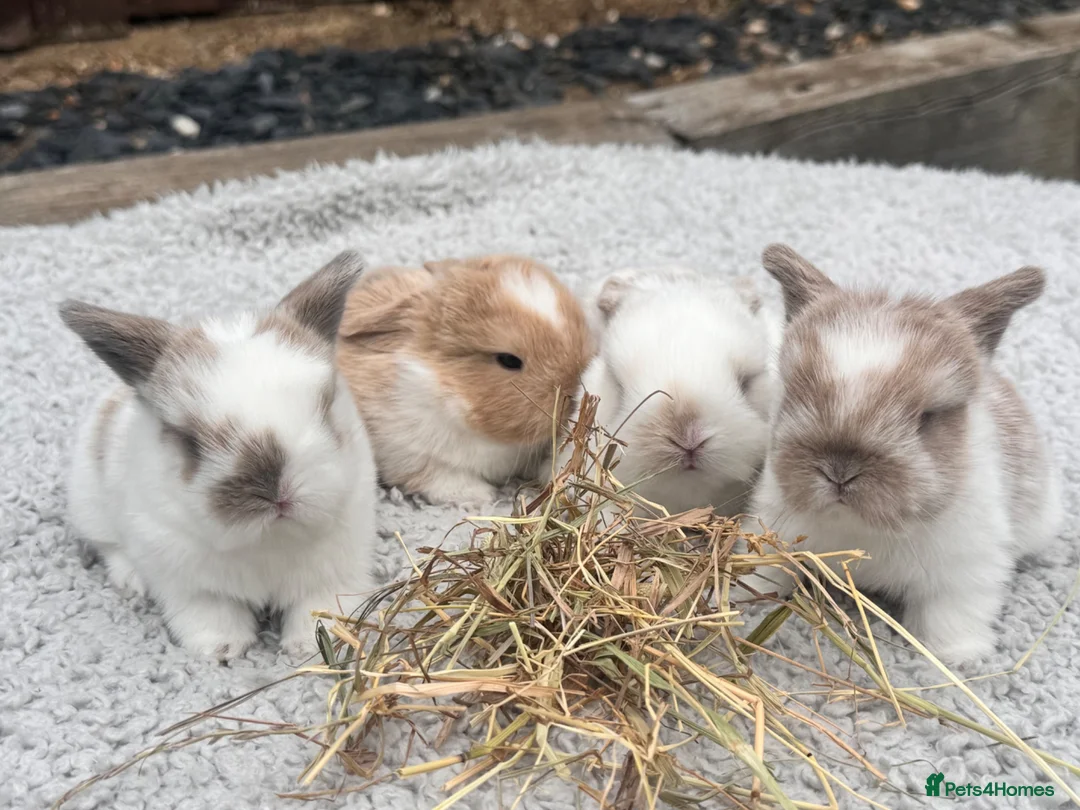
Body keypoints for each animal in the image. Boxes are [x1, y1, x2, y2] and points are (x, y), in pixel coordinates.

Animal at [63, 252, 377, 661]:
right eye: (190, 441)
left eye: (324, 408)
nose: (277, 492)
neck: (268, 543)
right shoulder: (190, 585)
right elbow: (212, 615)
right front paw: (222, 651)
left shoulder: (336, 572)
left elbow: (318, 608)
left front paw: (307, 648)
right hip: (90, 501)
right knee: (109, 546)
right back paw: (131, 580)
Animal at [740, 244, 1061, 664]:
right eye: (794, 394)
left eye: (927, 417)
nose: (840, 471)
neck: (862, 528)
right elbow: (770, 570)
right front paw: (745, 594)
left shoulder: (965, 570)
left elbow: (951, 613)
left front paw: (956, 656)